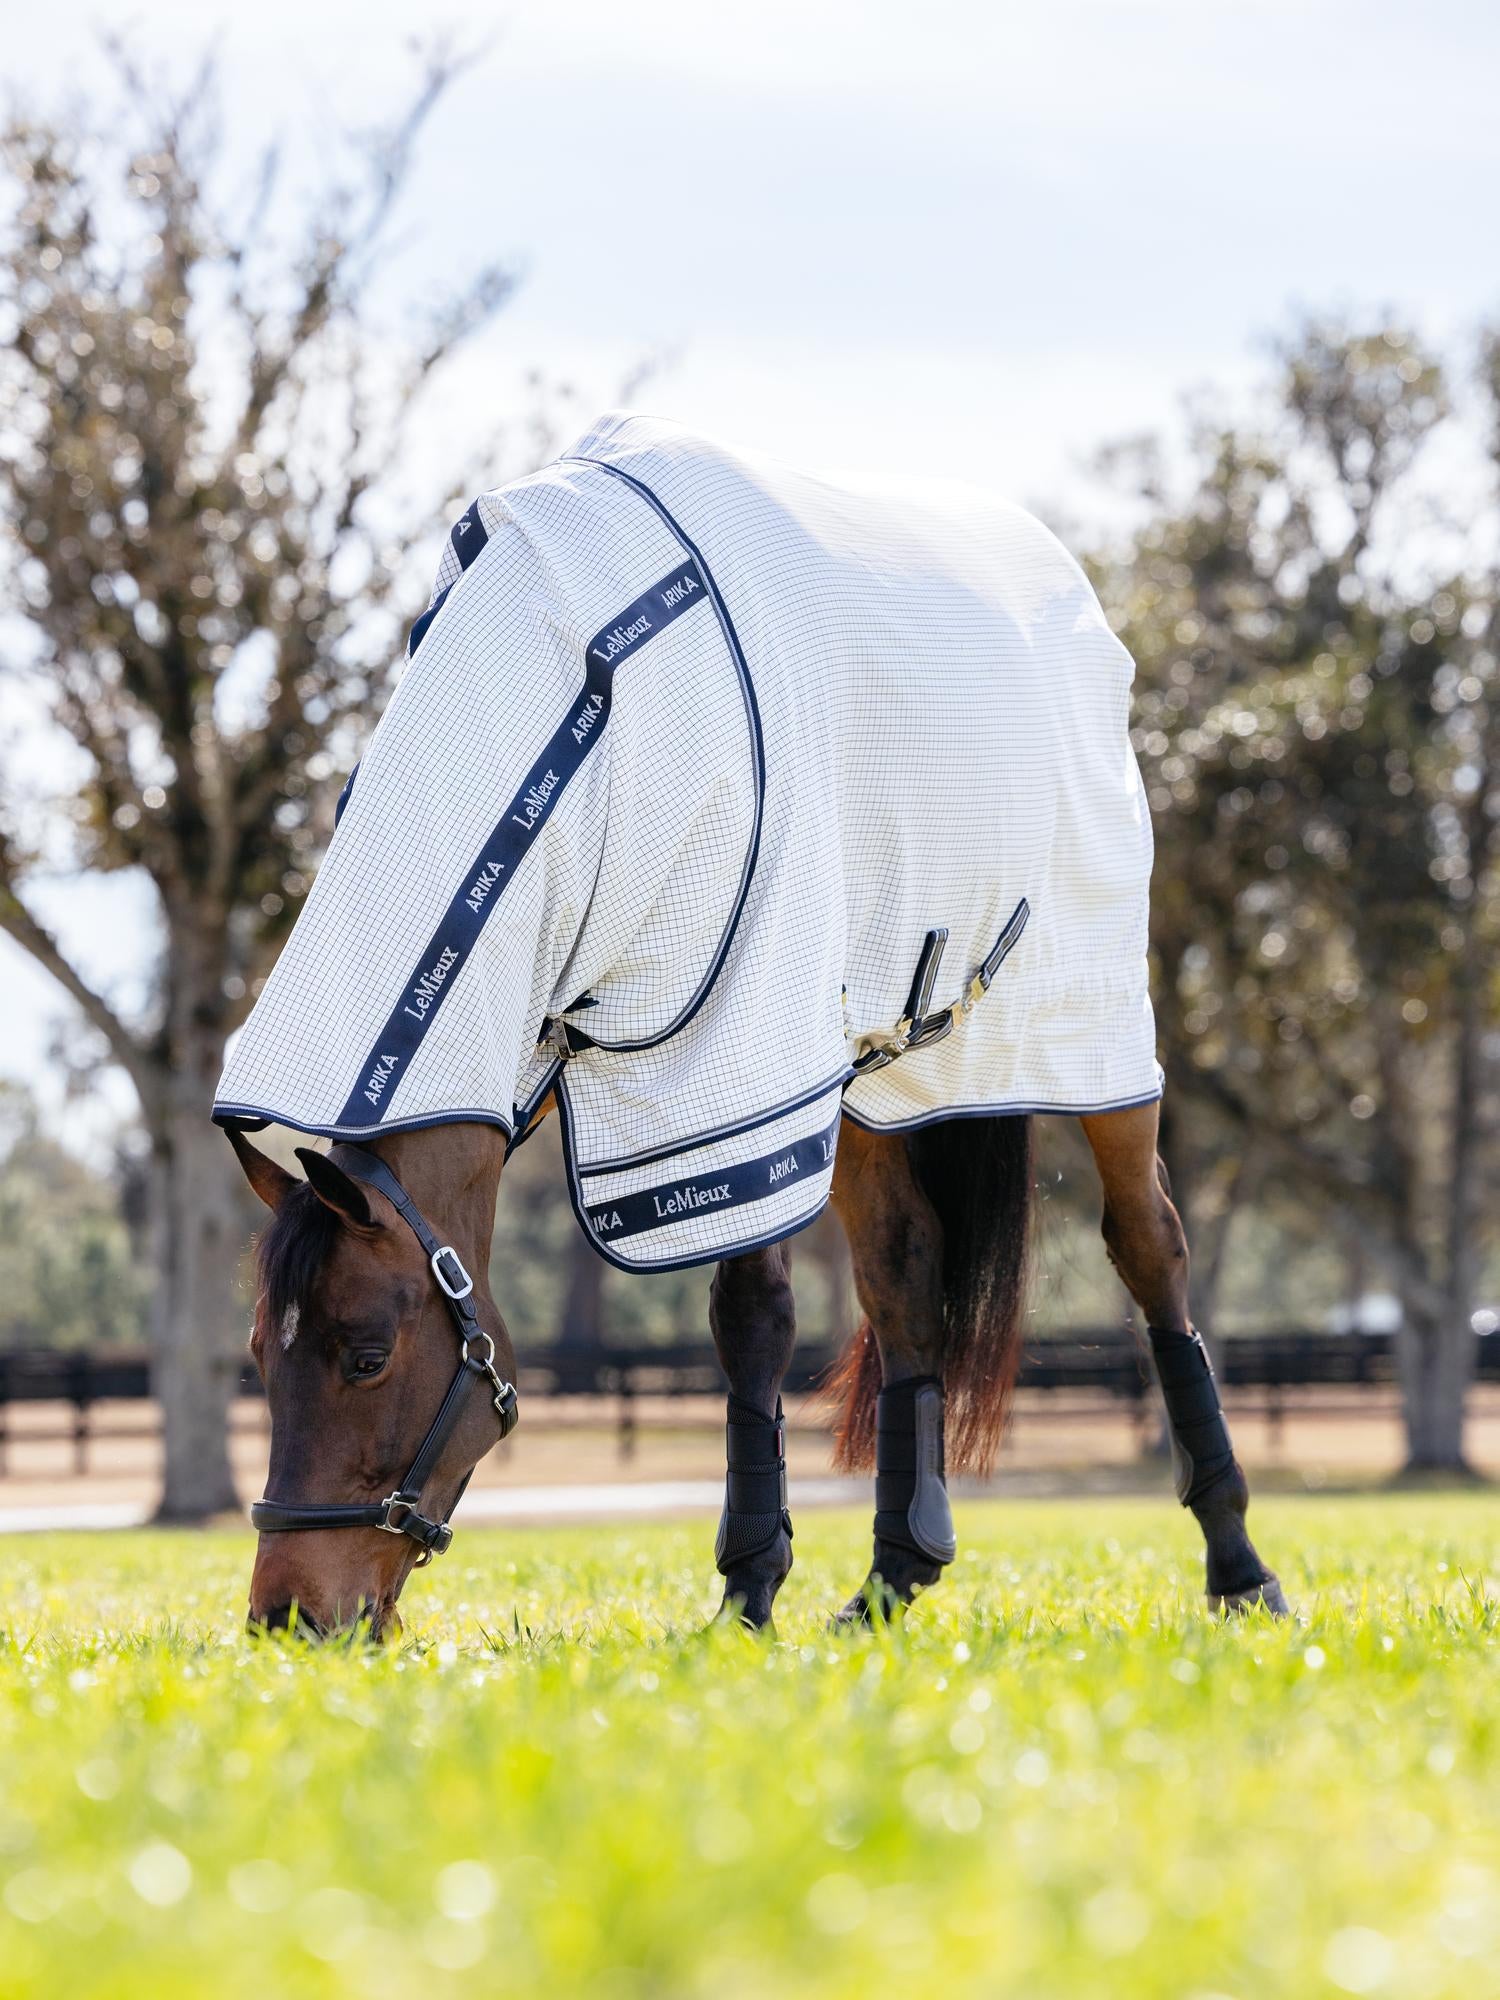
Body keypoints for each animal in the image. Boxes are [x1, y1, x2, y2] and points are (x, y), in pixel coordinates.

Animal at [217, 411, 1286, 1638]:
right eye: (259, 1356)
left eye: (365, 1352)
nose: (288, 1615)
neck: (585, 723)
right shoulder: (728, 1075)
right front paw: (766, 1580)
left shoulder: (729, 1059)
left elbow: (751, 1316)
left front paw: (746, 1586)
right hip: (864, 1079)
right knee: (906, 1278)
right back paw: (893, 1575)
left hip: (1096, 1044)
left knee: (1150, 1246)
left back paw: (1239, 1564)